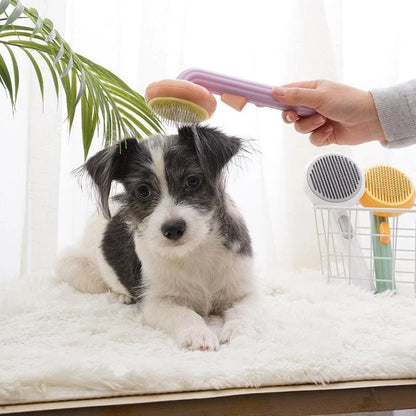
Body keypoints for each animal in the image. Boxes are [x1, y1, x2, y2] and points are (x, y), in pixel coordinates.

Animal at [55, 125, 256, 350]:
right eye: (143, 190)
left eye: (192, 181)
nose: (173, 229)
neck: (195, 252)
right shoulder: (157, 302)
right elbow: (185, 314)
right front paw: (199, 335)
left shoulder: (244, 292)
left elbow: (244, 312)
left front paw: (239, 333)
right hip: (72, 266)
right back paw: (121, 294)